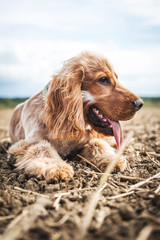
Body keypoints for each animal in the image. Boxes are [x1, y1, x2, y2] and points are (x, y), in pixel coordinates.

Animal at [8, 51, 143, 181]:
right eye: (104, 79)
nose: (140, 103)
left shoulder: (87, 139)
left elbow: (97, 143)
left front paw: (111, 159)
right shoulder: (27, 143)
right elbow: (42, 149)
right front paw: (55, 167)